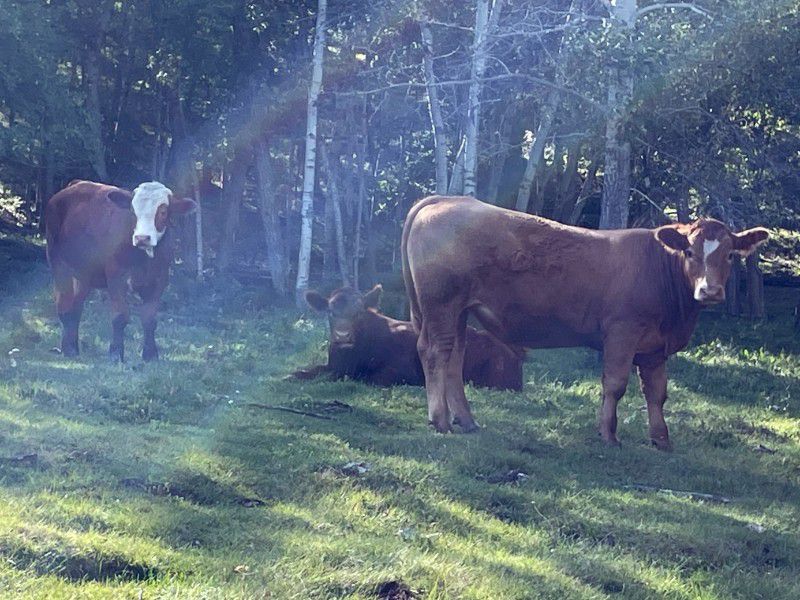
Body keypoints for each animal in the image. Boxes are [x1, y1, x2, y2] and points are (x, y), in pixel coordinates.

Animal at [45, 180, 196, 361]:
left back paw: (73, 346)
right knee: (64, 306)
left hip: (84, 274)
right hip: (58, 263)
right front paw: (116, 354)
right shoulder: (116, 278)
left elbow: (149, 318)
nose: (142, 238)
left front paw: (150, 354)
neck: (143, 258)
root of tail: (75, 184)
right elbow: (120, 316)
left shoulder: (160, 280)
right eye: (132, 211)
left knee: (76, 307)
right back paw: (68, 349)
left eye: (163, 211)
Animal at [294, 284, 524, 390]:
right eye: (330, 312)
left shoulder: (401, 371)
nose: (342, 335)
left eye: (358, 312)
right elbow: (303, 372)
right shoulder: (334, 366)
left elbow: (370, 379)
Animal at [402, 195, 769, 449]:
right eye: (690, 253)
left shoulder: (655, 347)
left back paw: (465, 420)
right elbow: (615, 384)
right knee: (435, 352)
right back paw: (440, 420)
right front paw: (608, 434)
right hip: (442, 304)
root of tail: (449, 199)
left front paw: (661, 439)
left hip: (459, 311)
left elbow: (657, 392)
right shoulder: (622, 331)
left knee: (454, 358)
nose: (710, 291)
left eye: (730, 255)